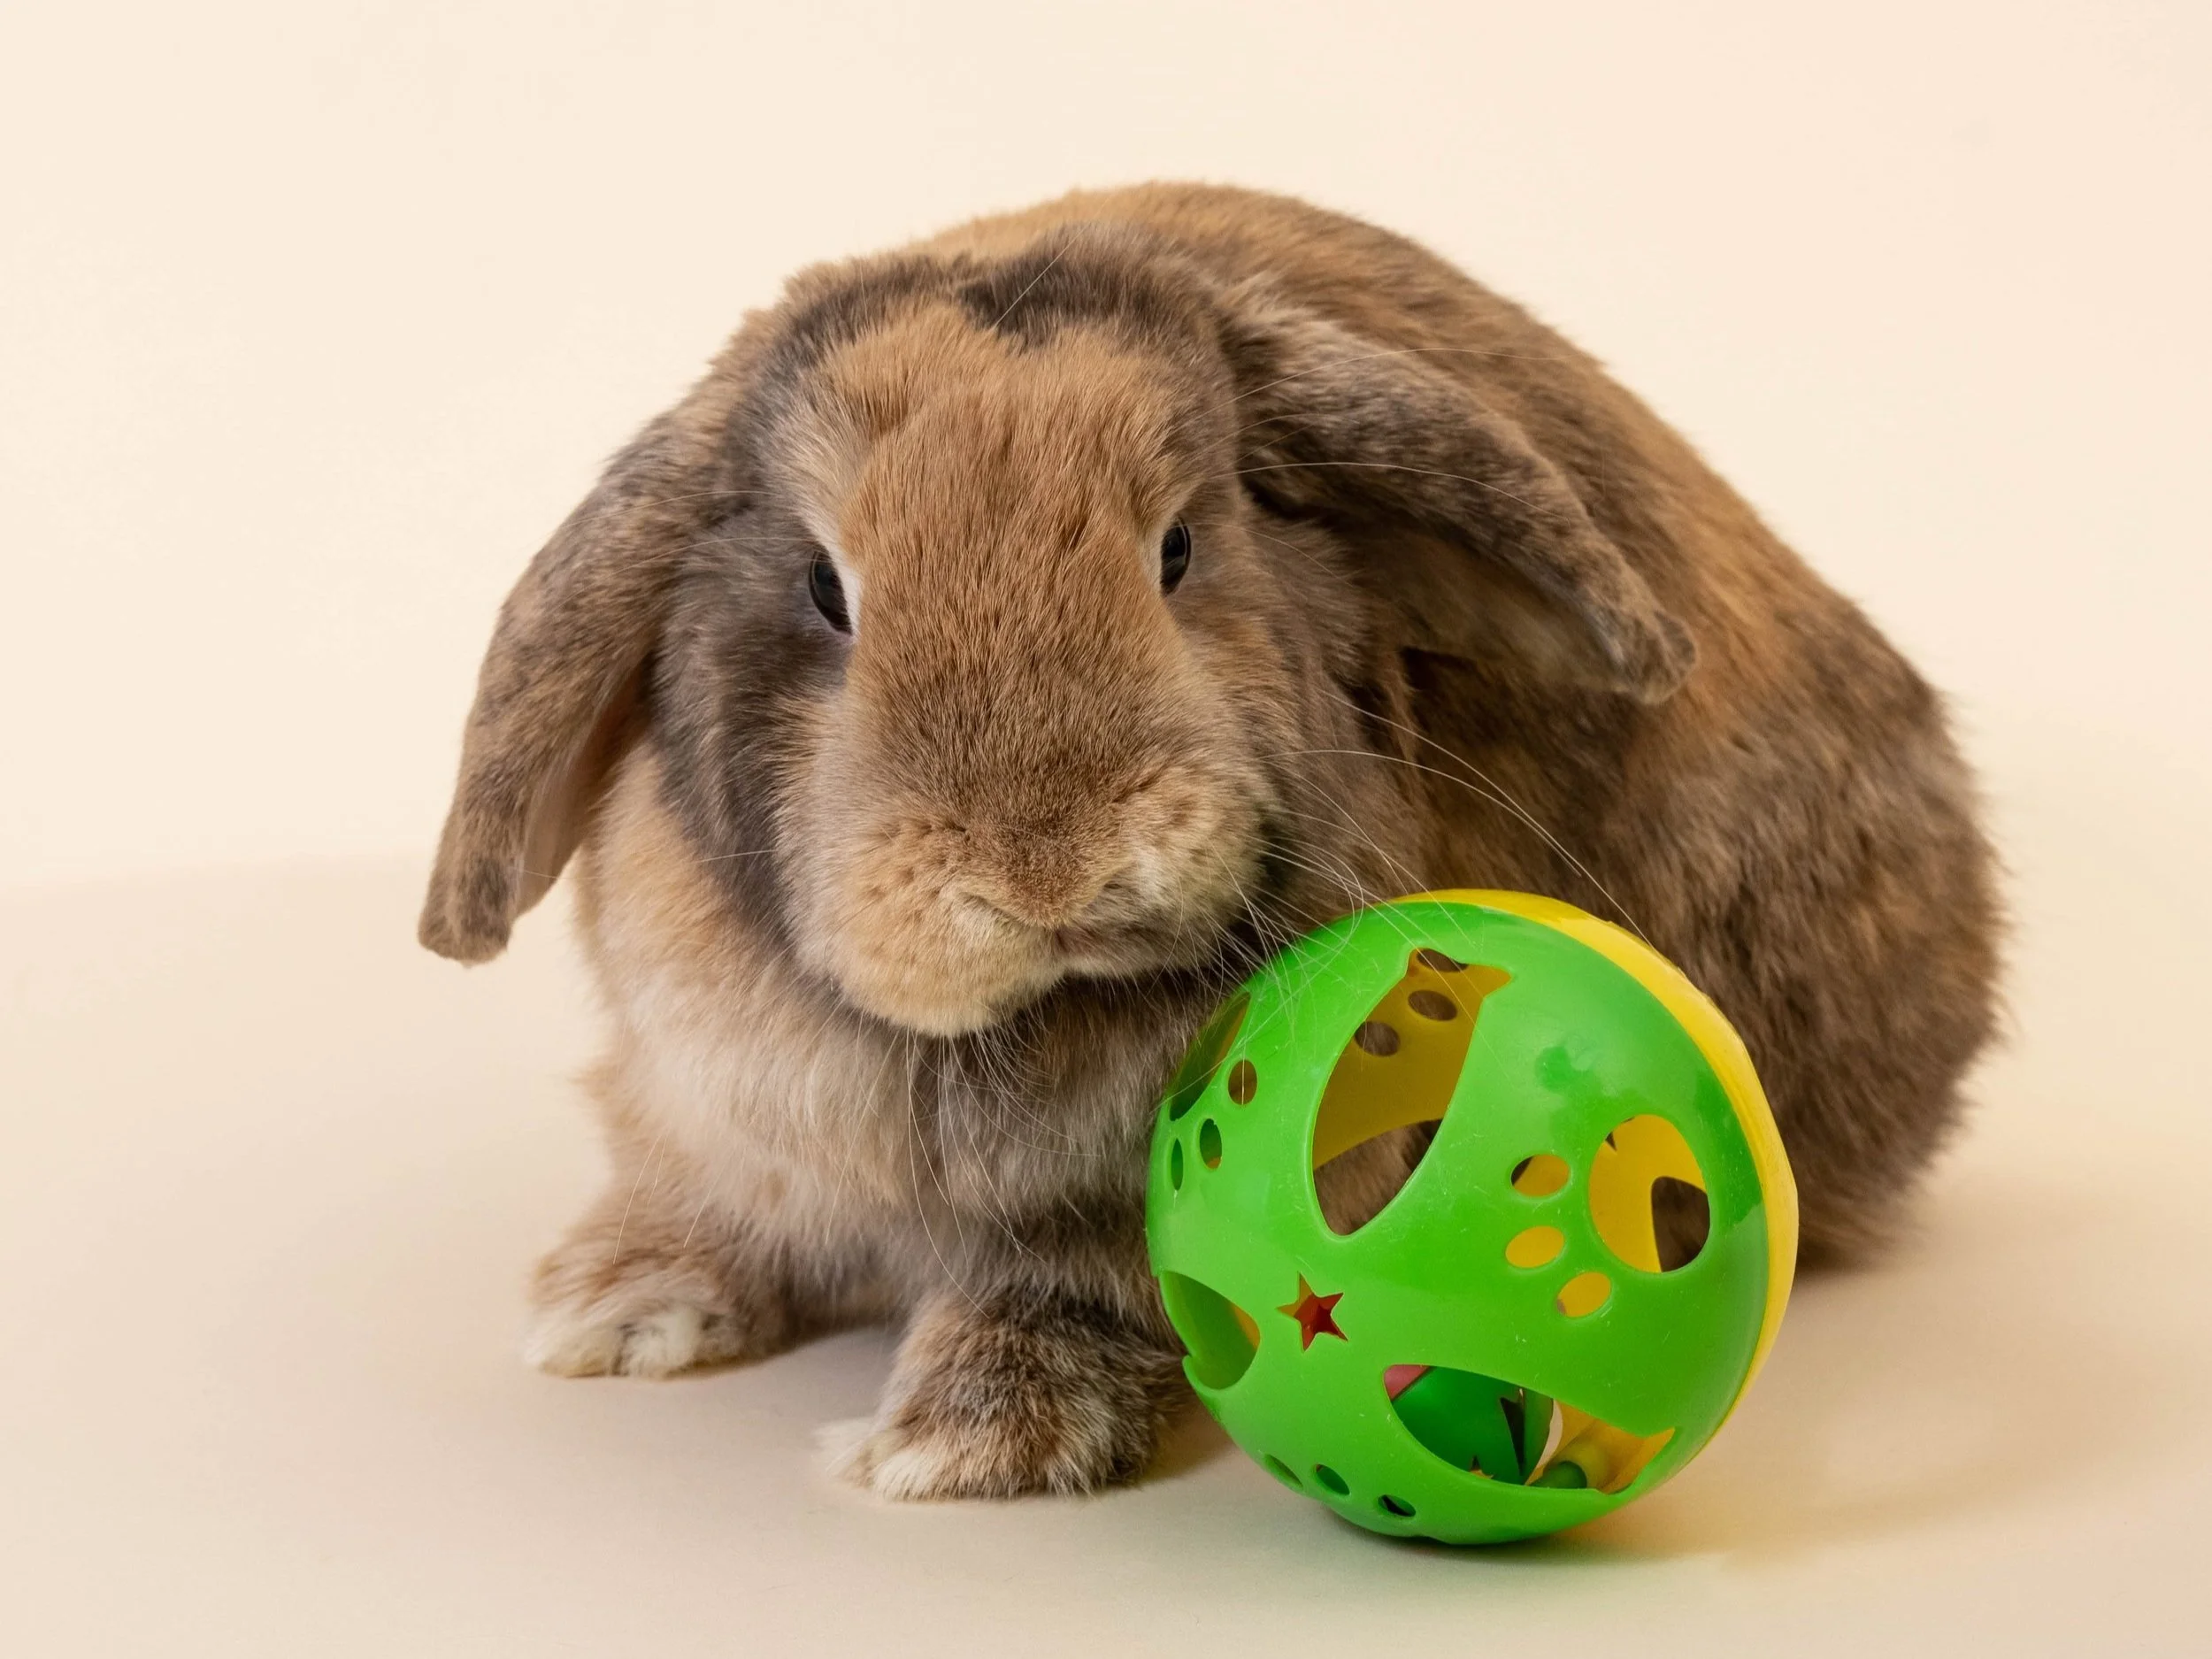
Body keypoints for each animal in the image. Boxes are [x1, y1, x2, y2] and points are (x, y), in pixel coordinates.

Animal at [418, 183, 1999, 1499]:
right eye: (825, 588)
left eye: (1179, 549)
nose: (1042, 863)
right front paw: (614, 1308)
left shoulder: (1109, 1228)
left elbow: (1073, 1290)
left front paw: (965, 1440)